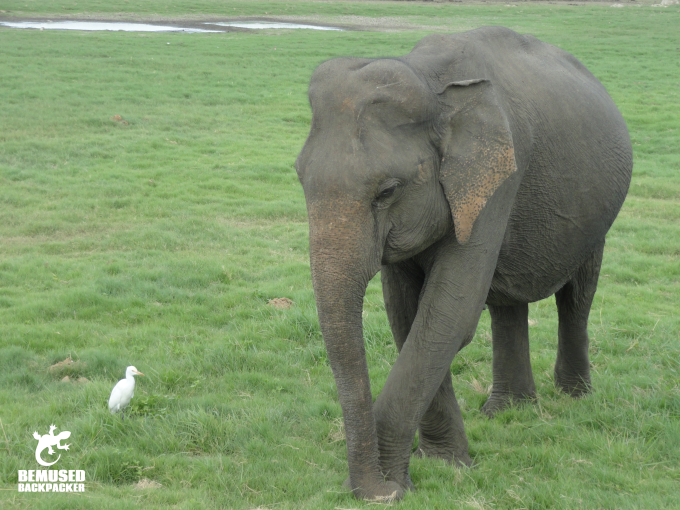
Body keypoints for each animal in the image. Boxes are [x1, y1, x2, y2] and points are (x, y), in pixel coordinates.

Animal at [295, 26, 632, 501]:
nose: (378, 491)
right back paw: (509, 411)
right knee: (508, 305)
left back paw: (574, 398)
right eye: (299, 178)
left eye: (387, 191)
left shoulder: (497, 179)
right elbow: (409, 316)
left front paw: (407, 478)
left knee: (577, 297)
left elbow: (448, 314)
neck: (429, 80)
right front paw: (442, 464)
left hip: (596, 216)